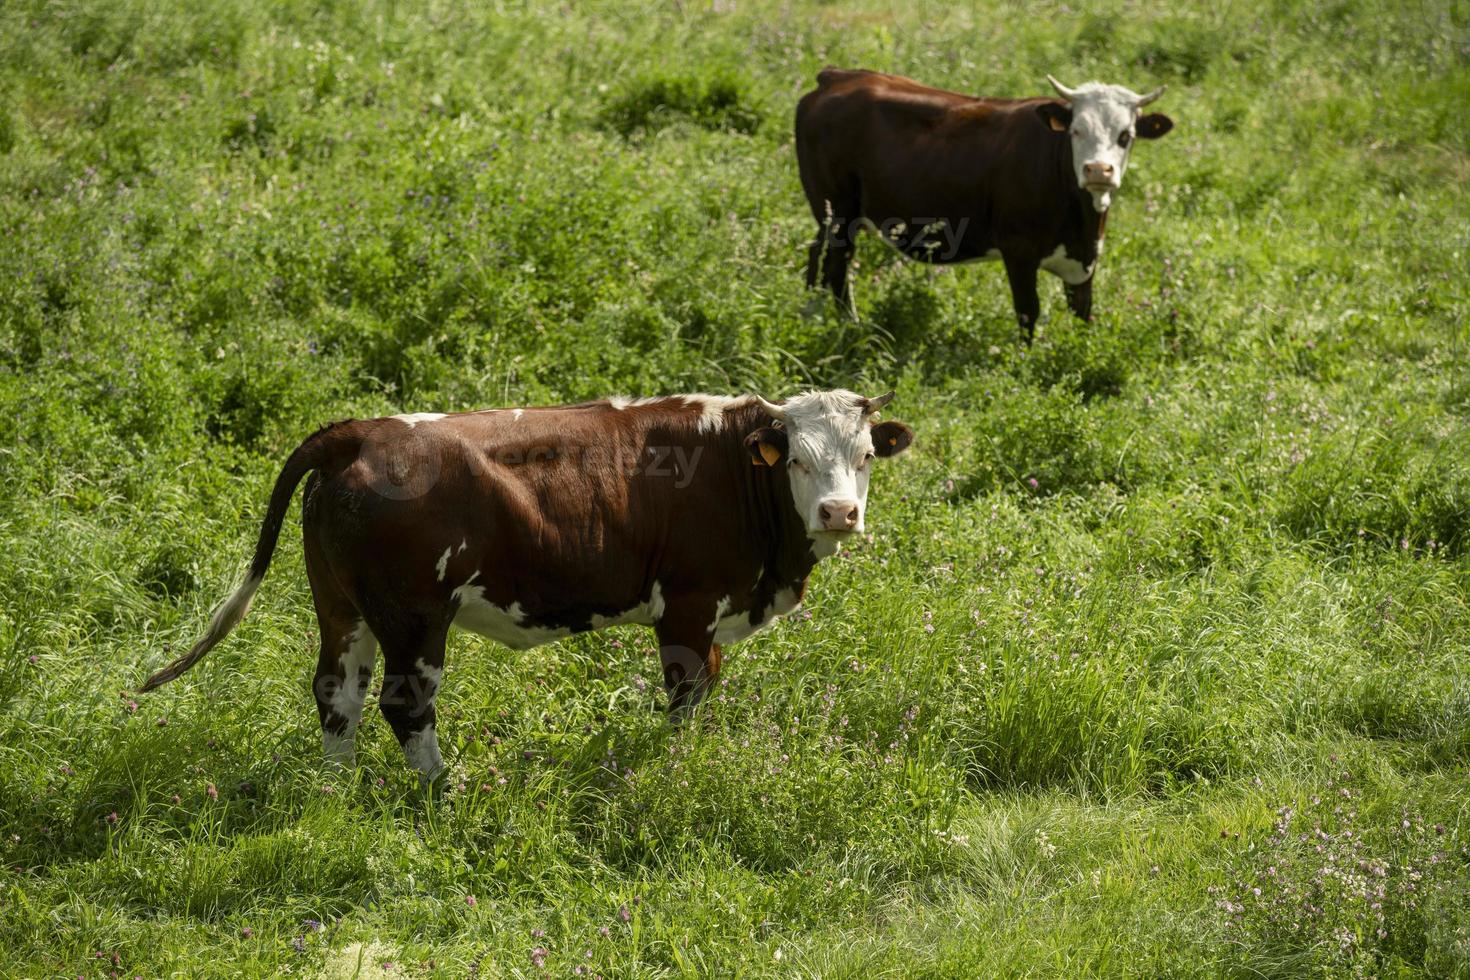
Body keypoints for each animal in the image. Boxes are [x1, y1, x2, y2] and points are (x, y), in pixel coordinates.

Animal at [143, 390, 911, 781]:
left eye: (866, 456)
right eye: (799, 460)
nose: (839, 513)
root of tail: (358, 432)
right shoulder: (689, 607)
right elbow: (686, 699)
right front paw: (678, 771)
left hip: (341, 606)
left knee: (337, 695)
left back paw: (336, 791)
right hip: (414, 616)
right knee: (404, 704)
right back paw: (441, 794)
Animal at [793, 69, 1170, 340]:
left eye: (1126, 135)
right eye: (1075, 131)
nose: (1098, 170)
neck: (1080, 221)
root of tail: (838, 76)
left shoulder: (1087, 259)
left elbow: (1082, 313)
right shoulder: (1018, 251)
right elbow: (1028, 311)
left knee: (821, 260)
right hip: (837, 210)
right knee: (835, 264)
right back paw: (844, 325)